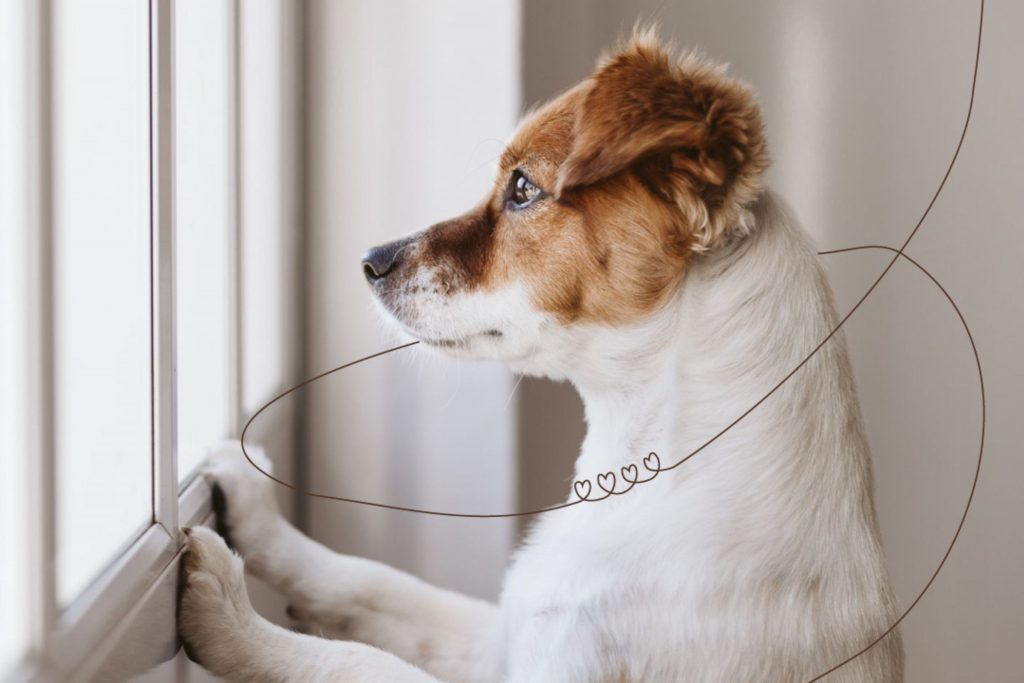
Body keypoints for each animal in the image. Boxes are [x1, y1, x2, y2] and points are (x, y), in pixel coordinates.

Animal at [178, 33, 905, 683]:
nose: (370, 261)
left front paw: (233, 618)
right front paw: (256, 512)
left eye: (523, 189)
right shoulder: (503, 636)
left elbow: (358, 661)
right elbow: (369, 582)